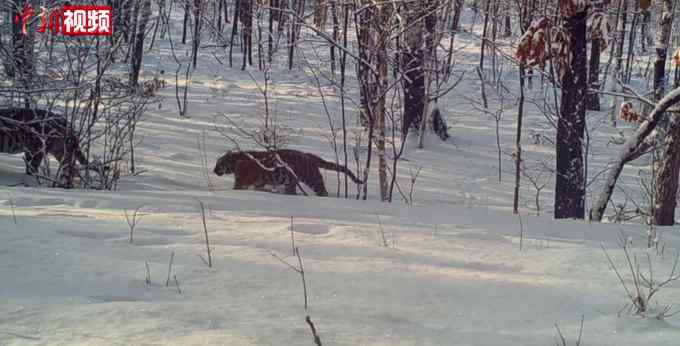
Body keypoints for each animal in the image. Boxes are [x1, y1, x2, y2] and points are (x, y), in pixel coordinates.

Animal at [214, 150, 364, 196]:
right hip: (291, 183)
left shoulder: (242, 181)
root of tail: (310, 155)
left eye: (219, 163)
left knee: (323, 192)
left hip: (313, 180)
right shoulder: (259, 182)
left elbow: (237, 187)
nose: (214, 170)